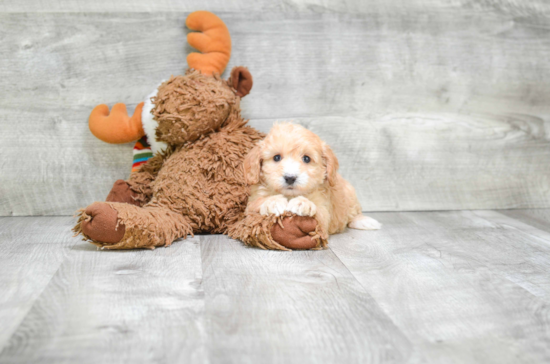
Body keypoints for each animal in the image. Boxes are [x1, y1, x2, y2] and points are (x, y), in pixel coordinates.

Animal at [244, 122, 382, 239]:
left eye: (306, 158)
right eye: (276, 157)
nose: (290, 177)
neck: (289, 195)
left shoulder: (324, 212)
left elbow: (319, 213)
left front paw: (303, 203)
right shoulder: (249, 208)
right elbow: (256, 204)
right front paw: (273, 202)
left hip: (350, 195)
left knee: (353, 213)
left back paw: (363, 221)